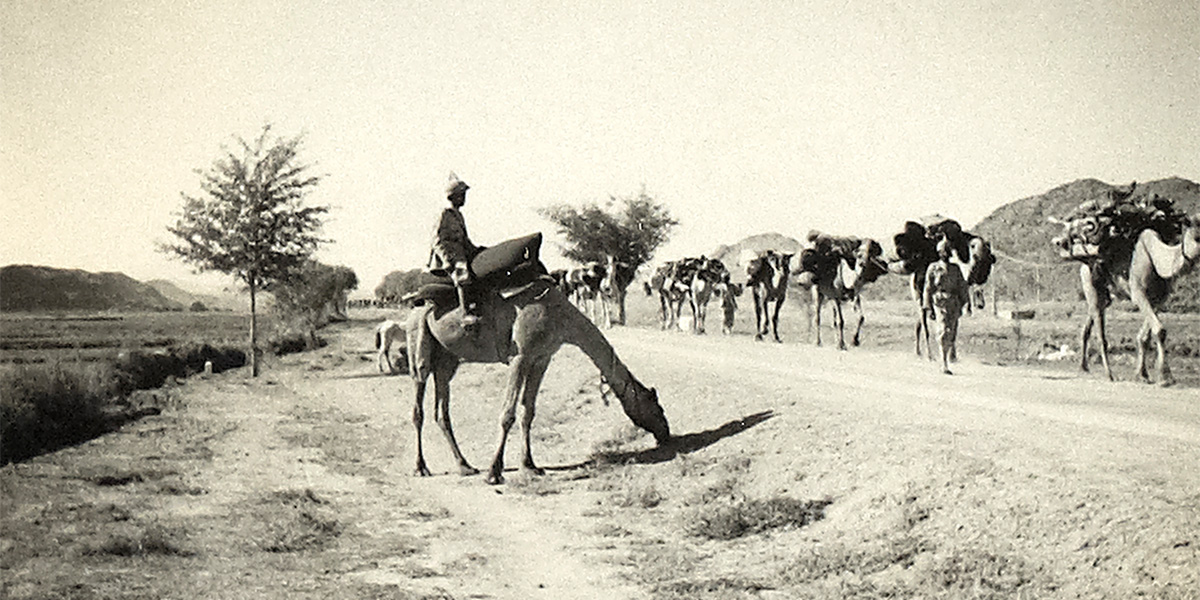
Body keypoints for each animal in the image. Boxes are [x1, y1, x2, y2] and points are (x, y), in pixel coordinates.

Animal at [405, 267, 672, 482]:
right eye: (656, 407)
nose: (665, 433)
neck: (561, 316)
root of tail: (414, 303)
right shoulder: (520, 356)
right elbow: (508, 414)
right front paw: (494, 472)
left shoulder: (541, 359)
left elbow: (528, 412)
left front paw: (530, 465)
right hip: (419, 341)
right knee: (419, 402)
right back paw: (420, 468)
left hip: (447, 359)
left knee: (442, 411)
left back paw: (465, 466)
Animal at [1075, 217, 1195, 384]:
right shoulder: (1139, 293)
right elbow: (1160, 330)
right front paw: (1166, 377)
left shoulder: (1159, 299)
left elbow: (1145, 337)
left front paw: (1142, 374)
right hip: (1090, 281)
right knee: (1100, 330)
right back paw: (1109, 374)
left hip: (1104, 295)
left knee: (1092, 316)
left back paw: (1083, 367)